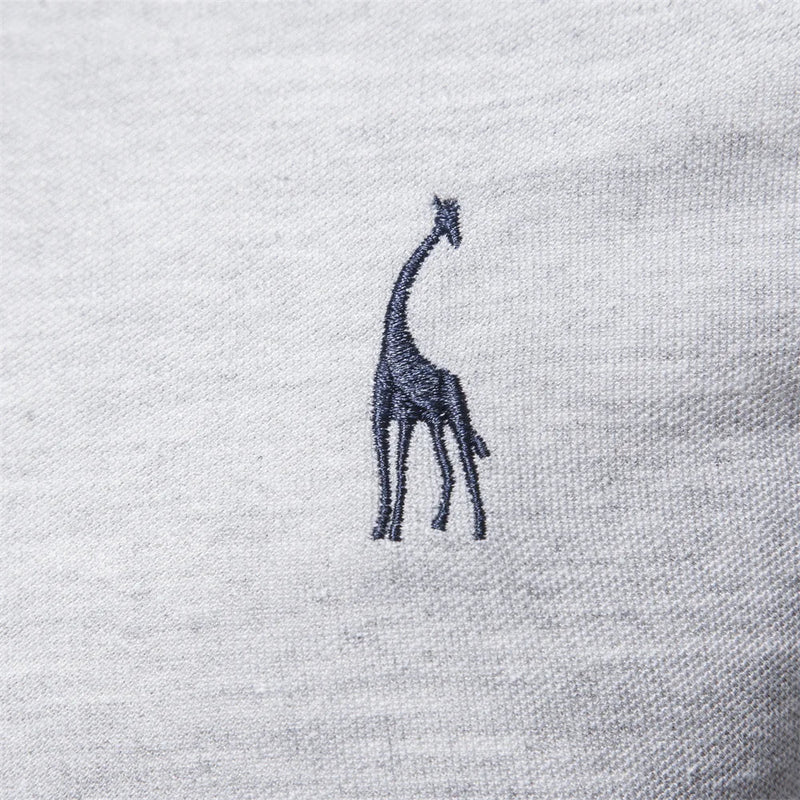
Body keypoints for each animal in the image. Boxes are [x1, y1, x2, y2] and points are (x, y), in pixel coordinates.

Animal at [372, 196, 490, 542]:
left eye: (455, 217)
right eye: (445, 217)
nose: (456, 239)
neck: (396, 344)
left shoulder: (414, 412)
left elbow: (403, 466)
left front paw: (391, 528)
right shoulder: (396, 414)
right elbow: (392, 466)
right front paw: (384, 527)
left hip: (452, 412)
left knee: (461, 462)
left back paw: (473, 526)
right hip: (444, 417)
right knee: (453, 464)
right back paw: (443, 520)